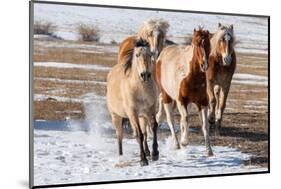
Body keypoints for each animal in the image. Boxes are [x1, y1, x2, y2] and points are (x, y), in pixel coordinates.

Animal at [155, 27, 212, 157]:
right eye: (196, 44)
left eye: (208, 44)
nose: (204, 65)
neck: (191, 76)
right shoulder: (181, 101)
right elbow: (185, 118)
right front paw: (184, 141)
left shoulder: (202, 103)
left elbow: (205, 125)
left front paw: (209, 150)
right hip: (167, 97)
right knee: (170, 119)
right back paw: (176, 143)